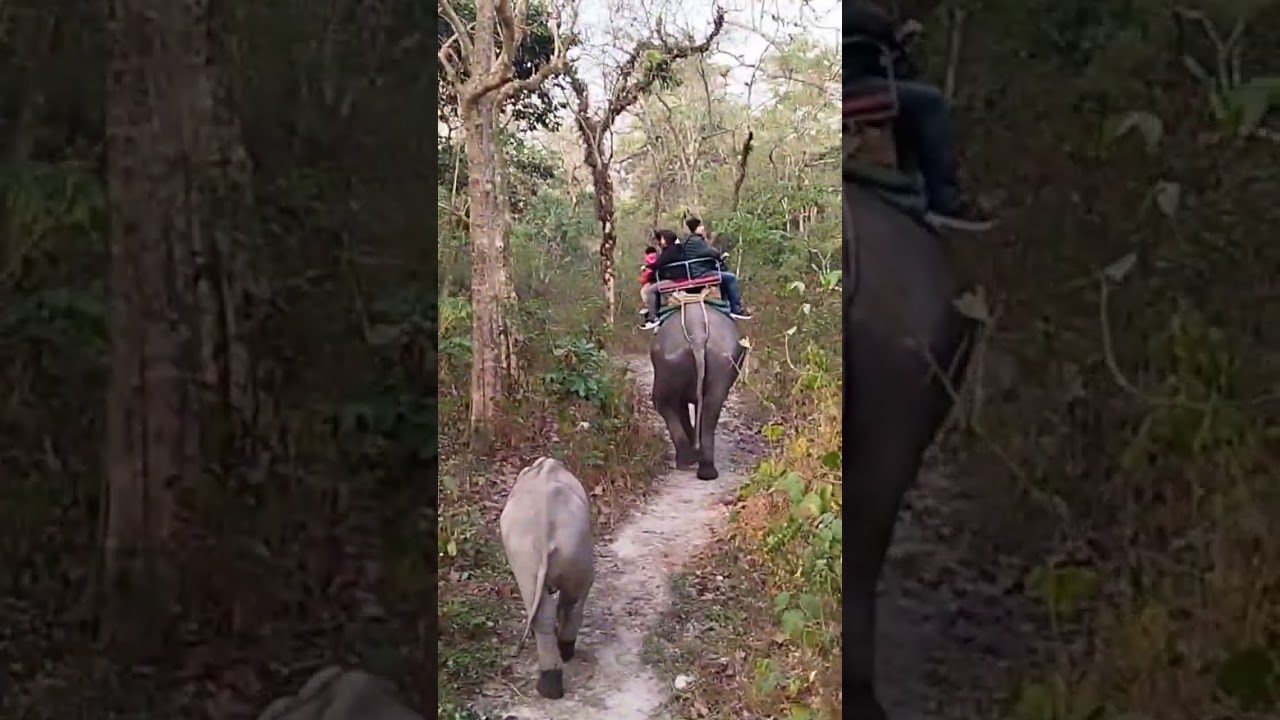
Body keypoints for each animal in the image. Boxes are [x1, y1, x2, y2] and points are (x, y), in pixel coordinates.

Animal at [649, 299, 746, 481]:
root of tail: (698, 335)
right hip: (722, 360)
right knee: (711, 406)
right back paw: (706, 469)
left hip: (669, 364)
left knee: (663, 402)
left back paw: (686, 460)